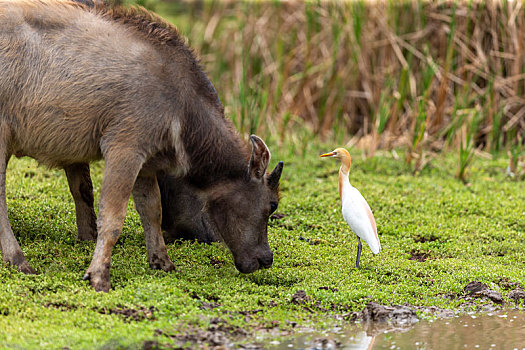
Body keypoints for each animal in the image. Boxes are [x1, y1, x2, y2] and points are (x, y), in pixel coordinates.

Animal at [0, 0, 282, 290]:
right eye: (272, 204)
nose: (266, 258)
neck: (179, 103)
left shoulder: (146, 164)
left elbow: (152, 210)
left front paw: (162, 262)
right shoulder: (124, 147)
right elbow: (112, 217)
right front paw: (98, 275)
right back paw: (19, 260)